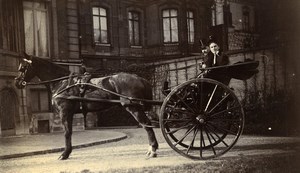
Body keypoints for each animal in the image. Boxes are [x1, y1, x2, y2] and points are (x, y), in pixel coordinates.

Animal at [14, 53, 159, 160]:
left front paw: (65, 153)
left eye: (23, 67)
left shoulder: (64, 112)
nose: (17, 83)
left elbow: (67, 132)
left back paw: (153, 149)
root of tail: (139, 78)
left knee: (147, 125)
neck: (63, 82)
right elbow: (69, 132)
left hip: (134, 108)